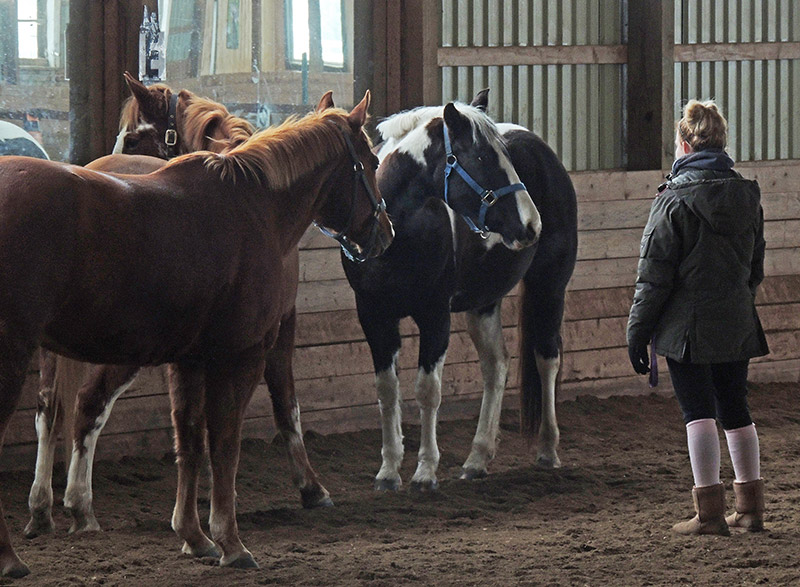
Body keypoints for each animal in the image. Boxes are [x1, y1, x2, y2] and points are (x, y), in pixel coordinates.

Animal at [342, 89, 577, 492]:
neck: (395, 236)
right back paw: (477, 459)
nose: (532, 224)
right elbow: (387, 391)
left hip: (550, 287)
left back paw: (547, 449)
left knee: (547, 358)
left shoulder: (435, 315)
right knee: (496, 366)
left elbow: (428, 390)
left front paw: (424, 472)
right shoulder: (374, 316)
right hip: (484, 301)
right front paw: (388, 471)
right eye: (482, 158)